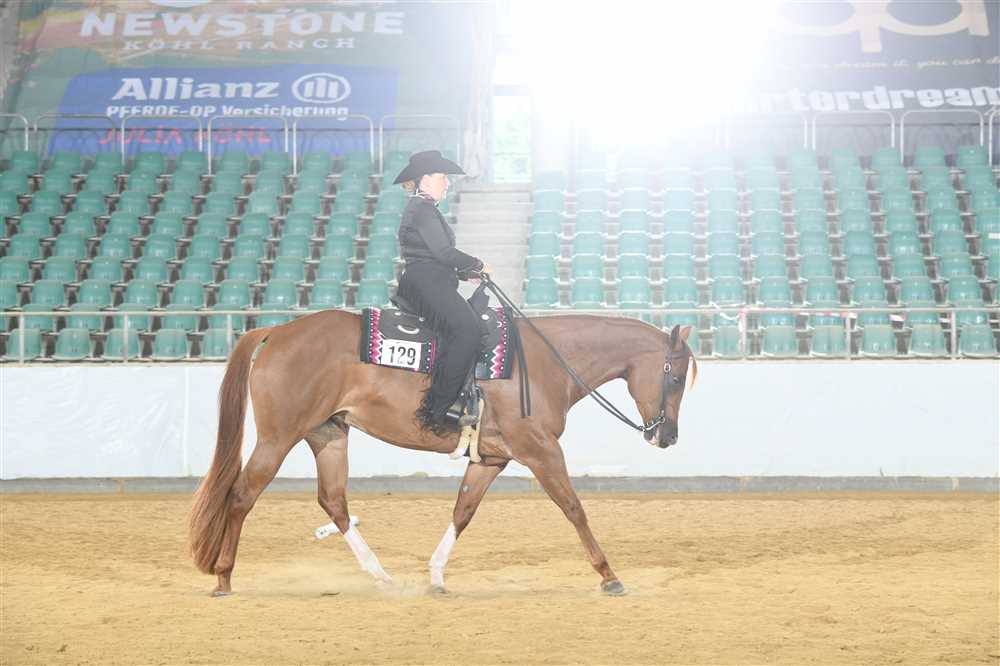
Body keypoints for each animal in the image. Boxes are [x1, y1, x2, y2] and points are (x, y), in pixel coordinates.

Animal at [189, 308, 696, 596]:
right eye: (674, 377)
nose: (668, 436)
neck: (543, 362)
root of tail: (278, 331)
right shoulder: (540, 450)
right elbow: (573, 507)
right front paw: (609, 575)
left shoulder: (492, 459)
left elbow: (463, 511)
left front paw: (435, 575)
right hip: (278, 437)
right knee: (241, 495)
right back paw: (224, 578)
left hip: (328, 434)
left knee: (333, 502)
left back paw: (380, 576)